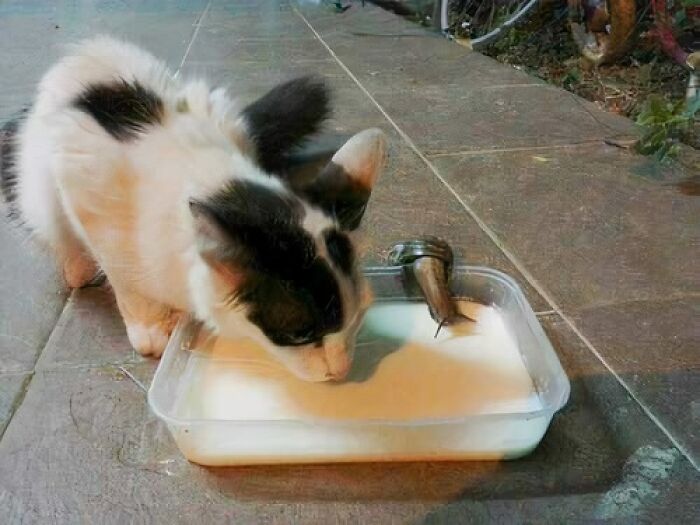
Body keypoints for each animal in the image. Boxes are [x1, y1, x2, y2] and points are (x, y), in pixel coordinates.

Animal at [0, 36, 386, 380]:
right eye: (301, 334)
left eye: (359, 318)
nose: (342, 371)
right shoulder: (83, 179)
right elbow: (122, 275)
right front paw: (149, 326)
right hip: (35, 190)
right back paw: (76, 264)